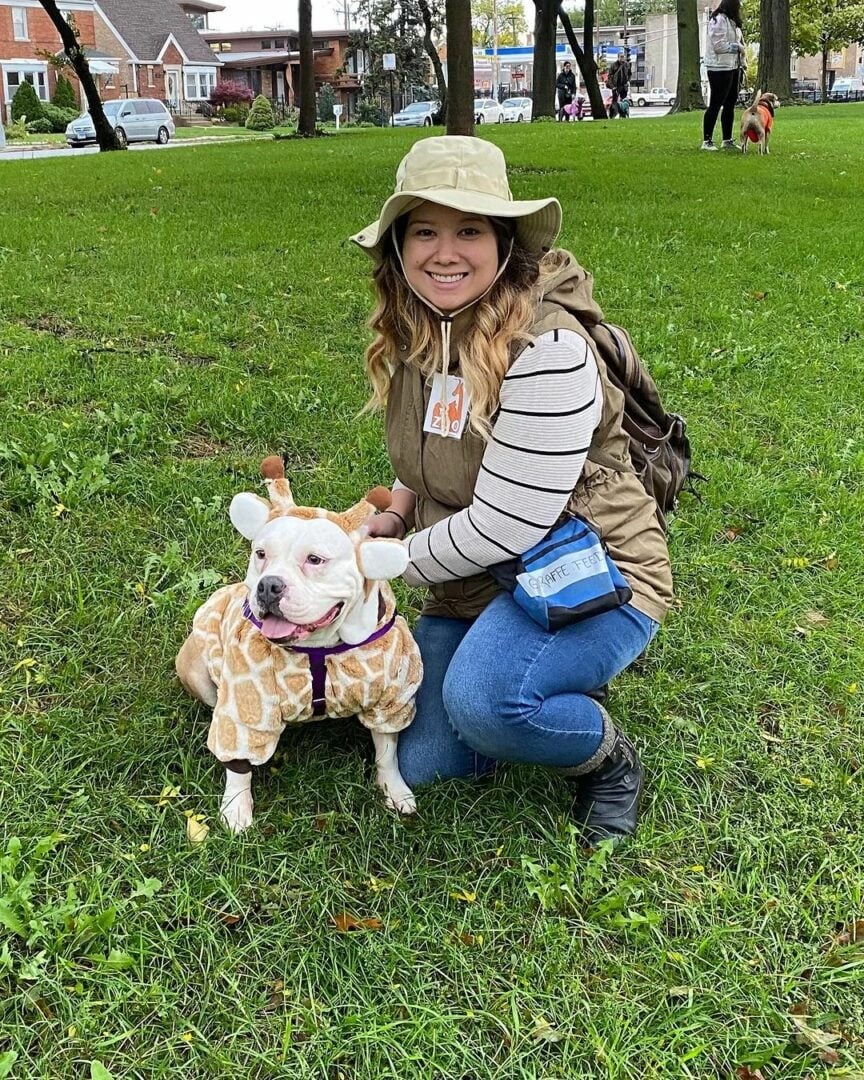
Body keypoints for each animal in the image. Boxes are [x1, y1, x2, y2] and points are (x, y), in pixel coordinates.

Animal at [178, 455, 425, 833]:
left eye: (315, 560)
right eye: (260, 554)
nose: (268, 585)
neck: (320, 648)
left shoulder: (390, 700)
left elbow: (387, 751)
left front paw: (394, 791)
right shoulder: (245, 709)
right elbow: (239, 765)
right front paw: (236, 808)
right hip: (195, 670)